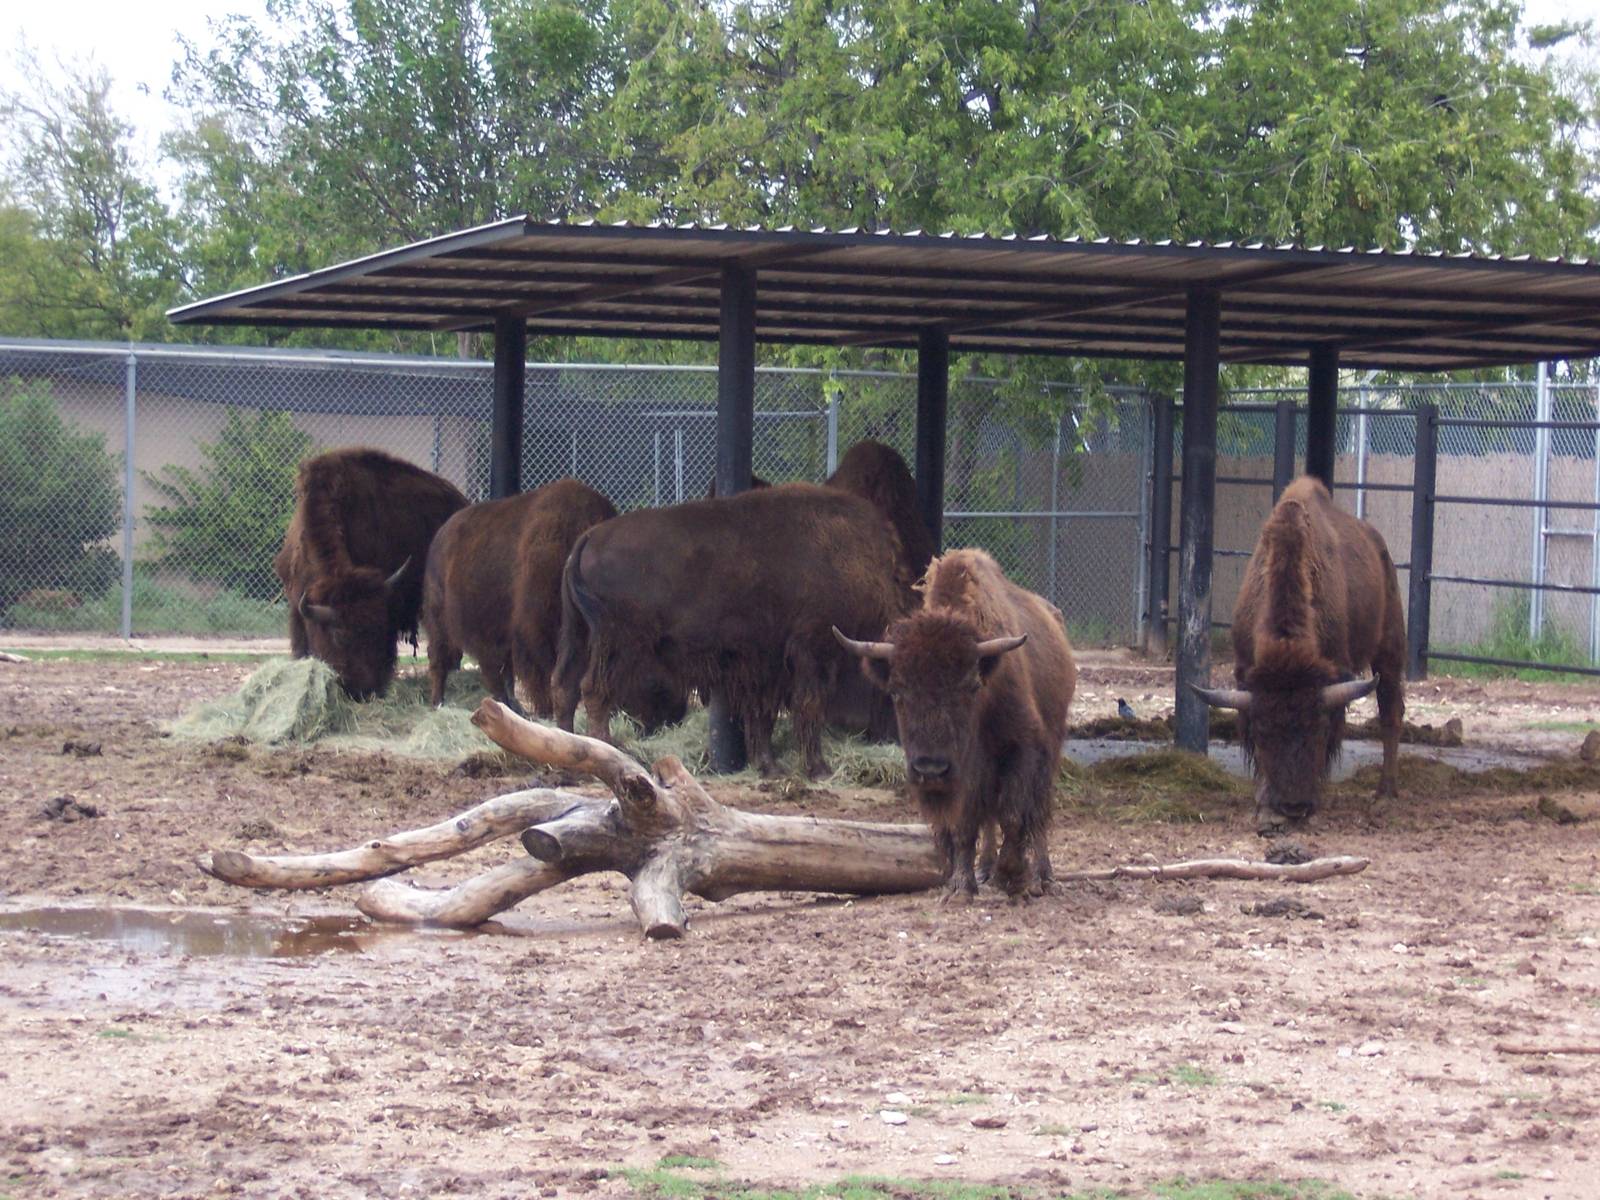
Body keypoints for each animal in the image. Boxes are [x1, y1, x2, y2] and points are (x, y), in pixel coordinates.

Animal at [552, 483, 914, 776]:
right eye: (896, 690)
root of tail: (589, 537)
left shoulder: (767, 661)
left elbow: (764, 713)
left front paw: (770, 767)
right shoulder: (812, 649)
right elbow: (808, 703)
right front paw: (818, 768)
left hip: (579, 634)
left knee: (565, 686)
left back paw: (566, 757)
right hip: (620, 642)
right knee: (594, 690)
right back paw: (606, 752)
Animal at [836, 548, 1076, 900]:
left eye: (971, 686)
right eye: (896, 691)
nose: (931, 770)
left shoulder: (1022, 747)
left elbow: (1014, 814)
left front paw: (1013, 876)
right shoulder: (966, 775)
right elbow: (964, 824)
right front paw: (961, 885)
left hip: (1051, 745)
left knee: (1037, 812)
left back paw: (1041, 877)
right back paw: (986, 869)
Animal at [1194, 475, 1406, 832]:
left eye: (1317, 729)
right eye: (1263, 733)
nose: (1294, 806)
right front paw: (1266, 806)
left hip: (1390, 648)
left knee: (1390, 712)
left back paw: (1386, 795)